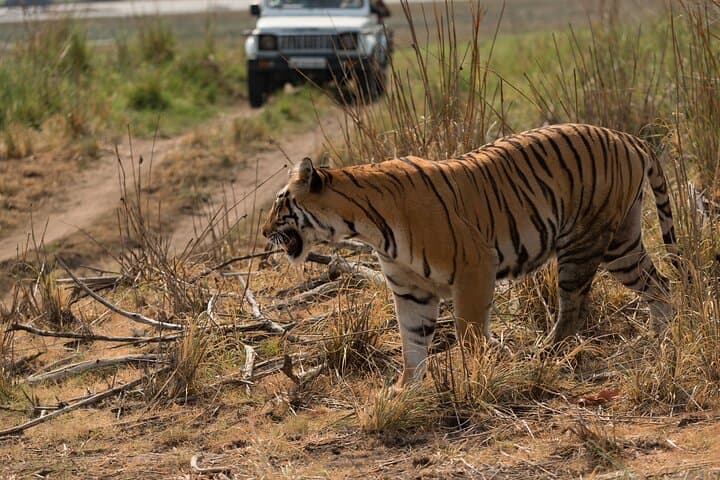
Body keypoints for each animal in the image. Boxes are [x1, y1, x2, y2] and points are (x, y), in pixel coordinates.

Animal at [262, 123, 676, 389]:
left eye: (280, 204)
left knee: (574, 307)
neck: (364, 224)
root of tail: (627, 136)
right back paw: (663, 336)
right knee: (660, 284)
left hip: (585, 243)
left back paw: (544, 353)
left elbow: (469, 333)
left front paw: (483, 369)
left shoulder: (475, 266)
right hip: (621, 245)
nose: (264, 233)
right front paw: (402, 391)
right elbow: (412, 343)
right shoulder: (410, 289)